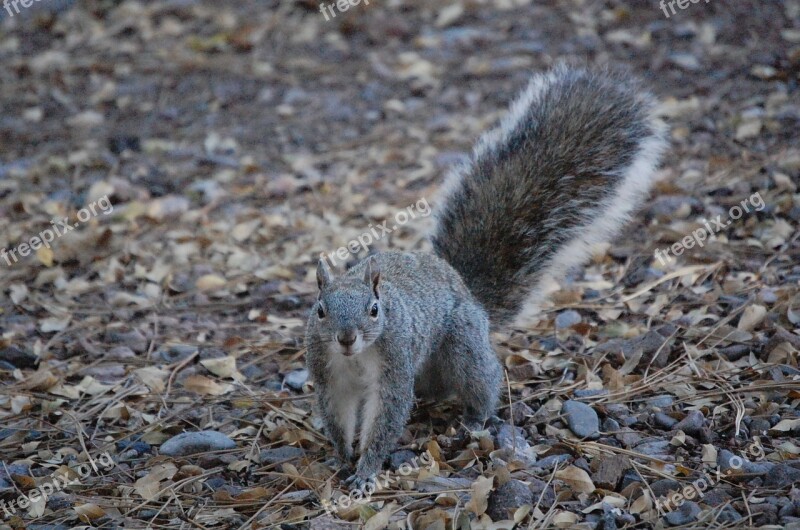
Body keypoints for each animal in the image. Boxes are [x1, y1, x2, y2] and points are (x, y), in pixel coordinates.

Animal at [304, 65, 664, 486]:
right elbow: (337, 415)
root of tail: (467, 291)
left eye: (375, 310)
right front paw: (342, 455)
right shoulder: (331, 377)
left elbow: (387, 417)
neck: (356, 357)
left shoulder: (393, 366)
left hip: (462, 345)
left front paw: (366, 470)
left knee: (481, 380)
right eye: (320, 310)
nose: (346, 338)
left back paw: (474, 419)